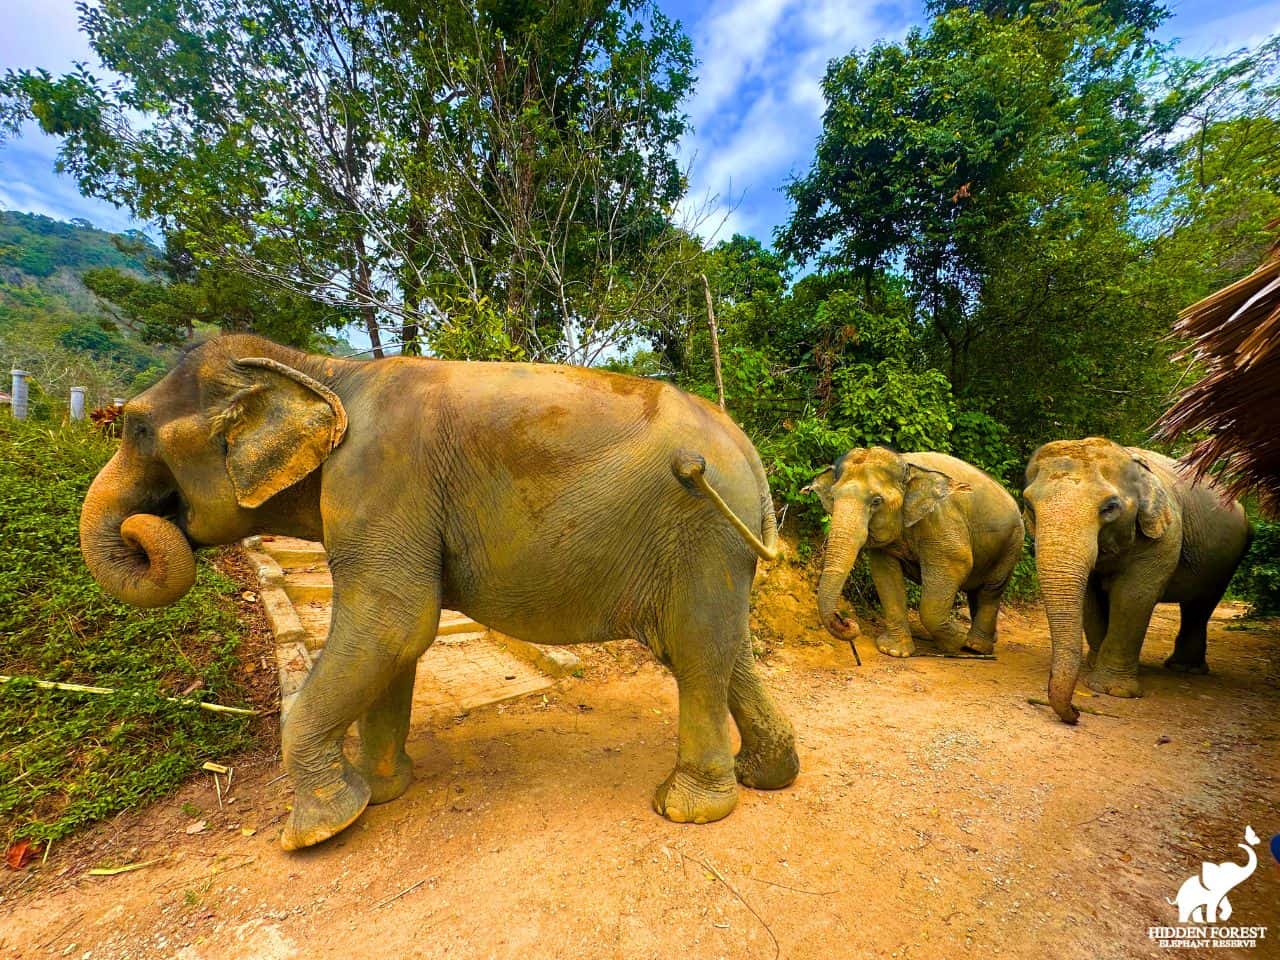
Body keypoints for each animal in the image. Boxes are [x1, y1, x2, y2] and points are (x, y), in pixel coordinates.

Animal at [79, 335, 800, 850]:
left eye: (136, 430)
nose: (148, 528)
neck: (321, 371)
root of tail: (748, 451)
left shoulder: (379, 476)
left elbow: (394, 623)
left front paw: (317, 831)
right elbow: (389, 643)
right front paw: (382, 792)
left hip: (702, 526)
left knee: (697, 652)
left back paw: (688, 809)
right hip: (713, 543)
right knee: (721, 649)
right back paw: (766, 777)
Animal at [806, 447, 1024, 659]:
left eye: (876, 501)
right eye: (832, 497)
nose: (846, 621)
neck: (906, 464)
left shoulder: (941, 518)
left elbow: (957, 562)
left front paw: (956, 640)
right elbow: (885, 575)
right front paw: (894, 651)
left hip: (1012, 543)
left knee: (991, 590)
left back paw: (975, 647)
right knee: (976, 591)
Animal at [1022, 437, 1250, 723]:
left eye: (1110, 507)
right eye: (1029, 506)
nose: (1076, 712)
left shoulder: (1165, 537)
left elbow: (1133, 597)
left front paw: (1112, 690)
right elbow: (1089, 599)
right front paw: (1093, 666)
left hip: (1227, 561)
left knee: (1201, 606)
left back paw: (1185, 668)